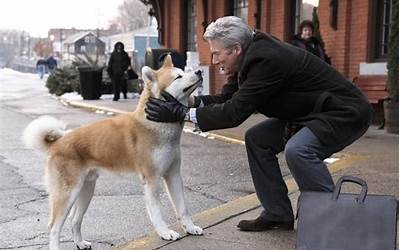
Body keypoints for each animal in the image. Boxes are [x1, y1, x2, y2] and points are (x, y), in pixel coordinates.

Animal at [22, 54, 203, 250]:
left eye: (183, 71)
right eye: (178, 77)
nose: (200, 71)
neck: (156, 123)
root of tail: (58, 143)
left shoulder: (173, 175)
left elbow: (183, 208)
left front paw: (190, 227)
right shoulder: (152, 179)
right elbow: (157, 212)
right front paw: (165, 232)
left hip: (86, 190)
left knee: (74, 220)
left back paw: (80, 243)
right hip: (68, 193)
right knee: (54, 227)